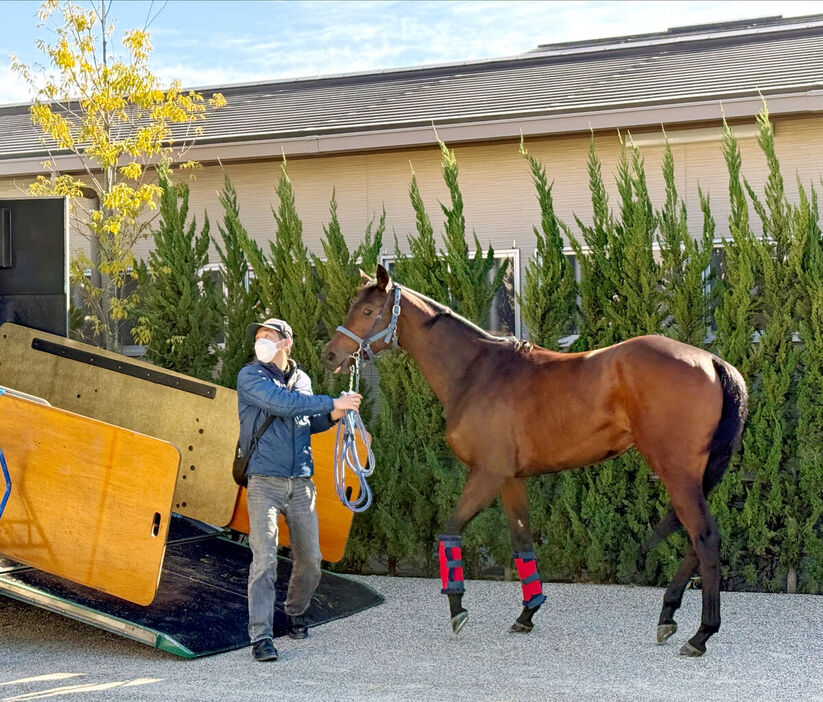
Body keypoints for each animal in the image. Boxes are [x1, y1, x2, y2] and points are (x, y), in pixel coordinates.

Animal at [322, 266, 748, 660]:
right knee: (696, 539)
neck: (477, 371)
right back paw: (668, 616)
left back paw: (701, 634)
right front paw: (527, 613)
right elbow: (522, 542)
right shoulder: (511, 479)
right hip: (694, 476)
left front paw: (457, 608)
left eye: (368, 309)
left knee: (705, 537)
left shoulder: (487, 474)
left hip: (676, 471)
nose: (330, 354)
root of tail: (711, 360)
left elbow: (449, 532)